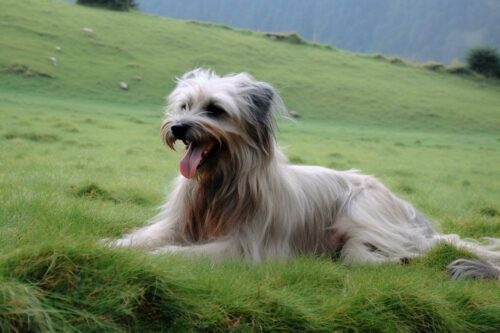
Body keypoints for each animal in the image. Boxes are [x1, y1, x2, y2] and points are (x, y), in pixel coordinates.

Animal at [107, 68, 498, 278]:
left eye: (215, 110)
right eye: (184, 106)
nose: (177, 128)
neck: (220, 182)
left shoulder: (246, 245)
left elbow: (190, 253)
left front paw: (161, 257)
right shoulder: (180, 224)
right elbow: (146, 236)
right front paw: (114, 247)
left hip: (362, 209)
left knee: (394, 249)